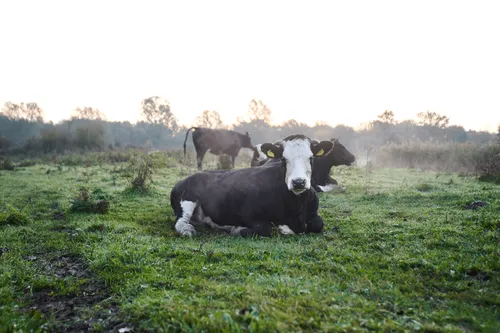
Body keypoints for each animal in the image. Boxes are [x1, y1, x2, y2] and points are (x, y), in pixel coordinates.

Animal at [170, 134, 334, 236]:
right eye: (283, 159)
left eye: (311, 158)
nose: (298, 182)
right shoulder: (247, 213)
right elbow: (265, 228)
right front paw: (237, 229)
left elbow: (318, 223)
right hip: (187, 199)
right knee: (180, 221)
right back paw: (187, 229)